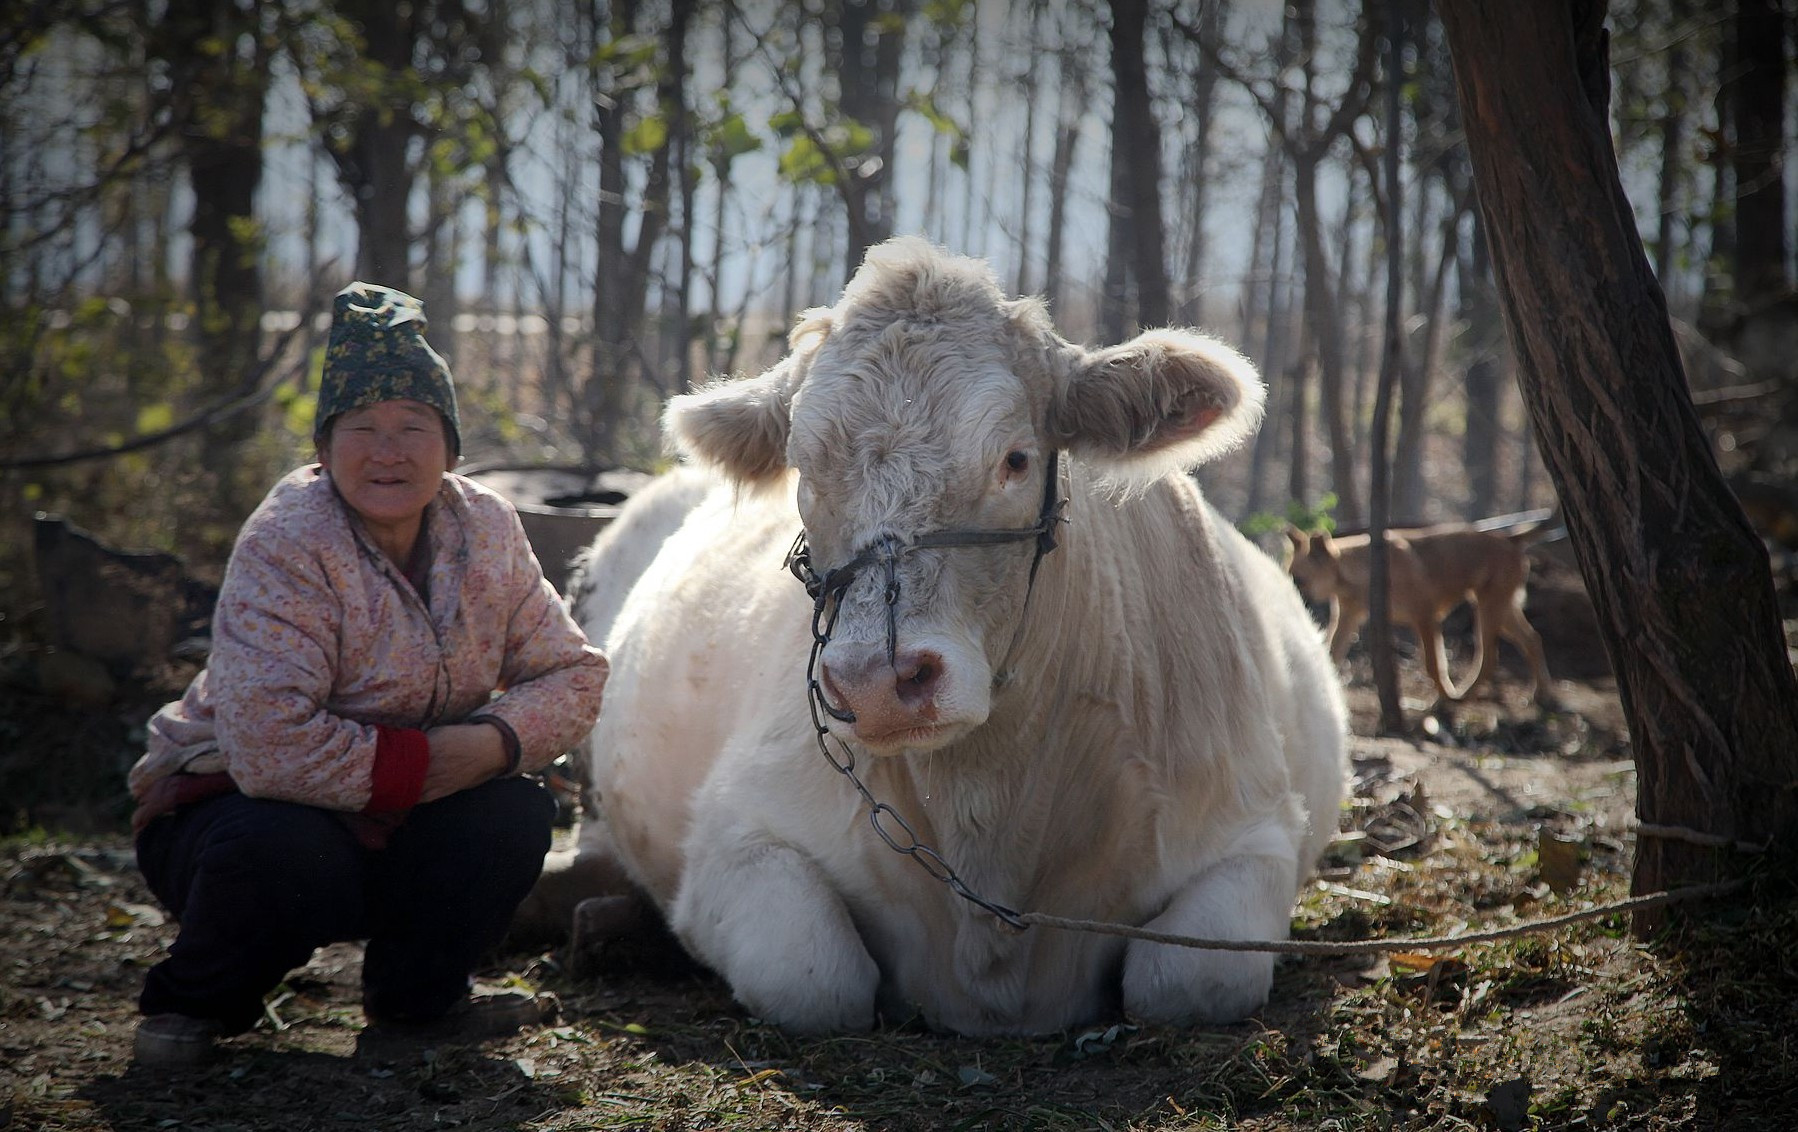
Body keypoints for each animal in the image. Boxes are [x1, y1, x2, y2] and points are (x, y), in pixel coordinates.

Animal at [568, 237, 1344, 1034]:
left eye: (1016, 459)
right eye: (804, 469)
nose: (877, 684)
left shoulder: (1252, 832)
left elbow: (1188, 978)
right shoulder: (736, 836)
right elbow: (813, 975)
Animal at [1280, 524, 1560, 711]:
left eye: (1299, 580)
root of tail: (1509, 538)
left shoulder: (1425, 617)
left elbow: (1433, 665)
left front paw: (1443, 698)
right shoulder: (1347, 619)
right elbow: (1330, 653)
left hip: (1488, 609)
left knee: (1490, 657)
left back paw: (1460, 696)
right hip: (1501, 611)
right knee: (1532, 639)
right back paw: (1542, 695)